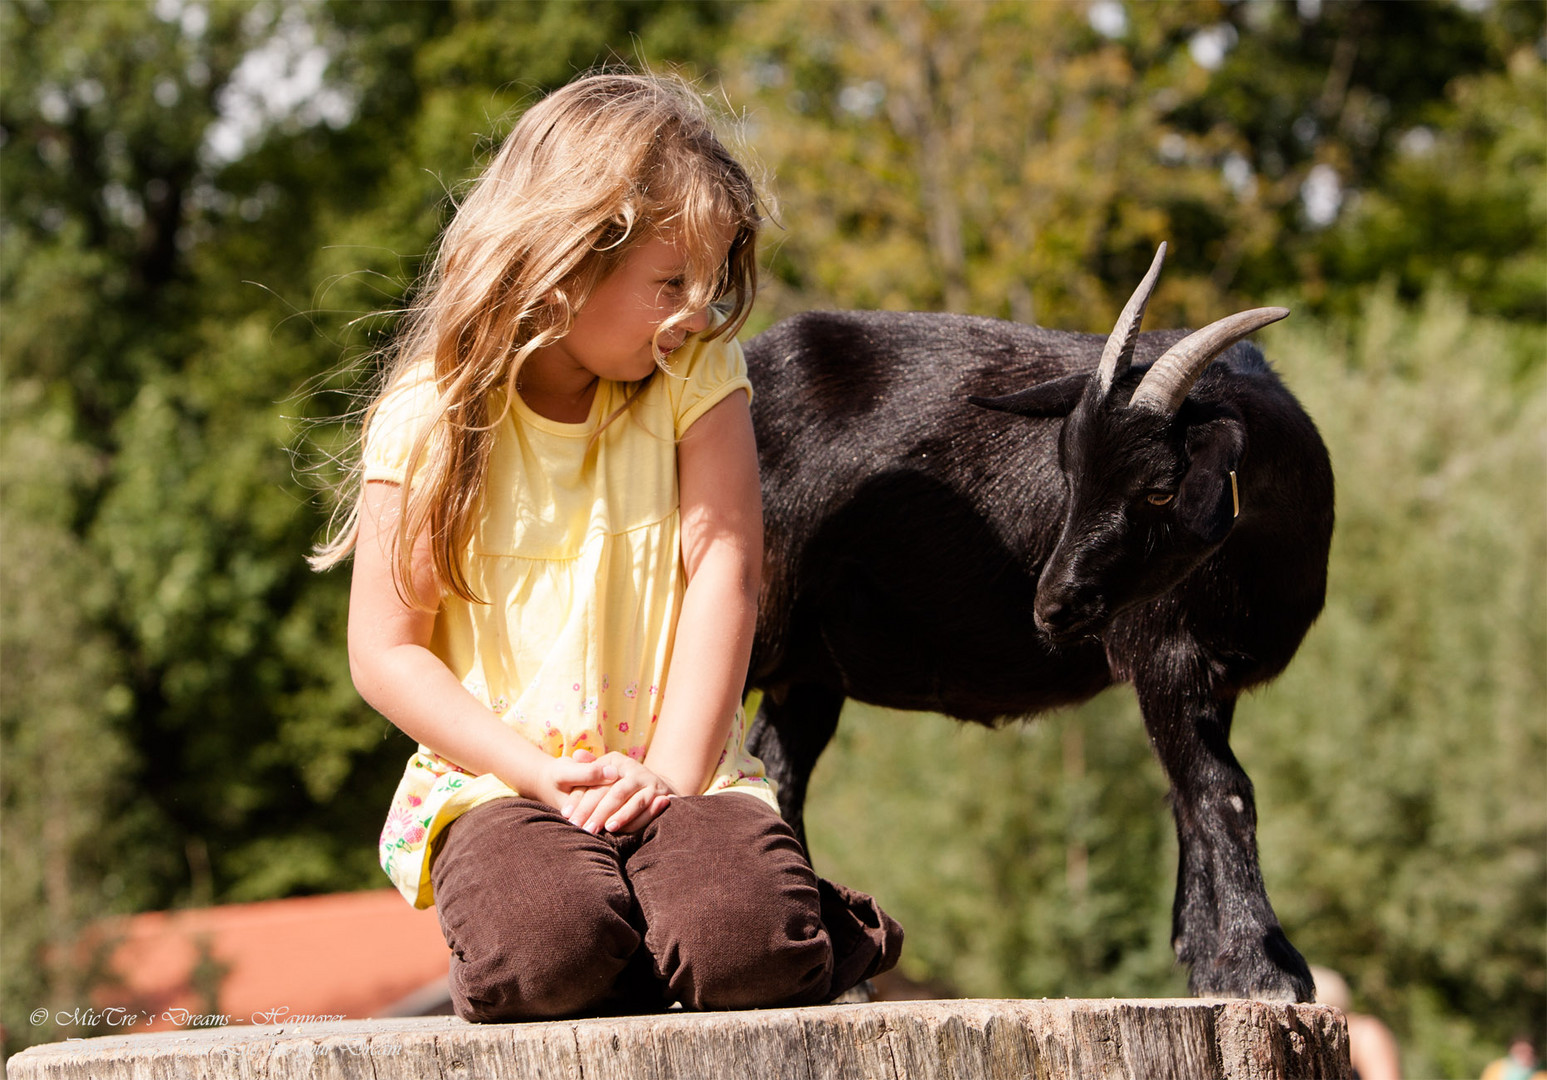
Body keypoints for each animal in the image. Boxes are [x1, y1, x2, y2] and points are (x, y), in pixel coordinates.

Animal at [742, 246, 1336, 1002]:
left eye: (1160, 490)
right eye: (1068, 475)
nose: (1051, 604)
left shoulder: (1212, 672)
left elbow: (1188, 794)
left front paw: (1203, 955)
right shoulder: (1162, 650)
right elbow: (1220, 790)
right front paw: (1261, 968)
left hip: (812, 666)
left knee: (775, 770)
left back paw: (833, 977)